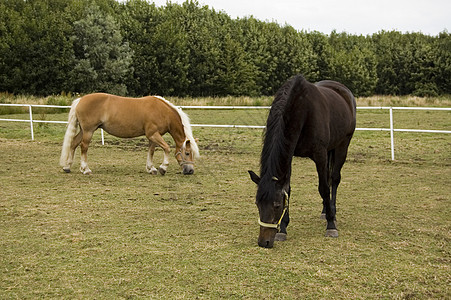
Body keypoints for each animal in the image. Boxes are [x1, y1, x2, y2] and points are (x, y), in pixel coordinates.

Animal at [59, 92, 200, 175]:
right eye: (187, 153)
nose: (190, 170)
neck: (163, 112)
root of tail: (80, 99)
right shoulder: (153, 134)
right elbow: (166, 148)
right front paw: (162, 168)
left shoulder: (152, 137)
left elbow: (151, 151)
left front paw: (151, 168)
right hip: (89, 131)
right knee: (84, 147)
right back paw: (86, 169)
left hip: (84, 130)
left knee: (73, 143)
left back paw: (67, 167)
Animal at [247, 75, 356, 248]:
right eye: (257, 204)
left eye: (276, 205)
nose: (264, 242)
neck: (303, 111)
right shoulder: (289, 154)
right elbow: (288, 189)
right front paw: (283, 229)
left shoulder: (320, 154)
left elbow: (324, 188)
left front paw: (331, 225)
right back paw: (325, 211)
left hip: (342, 145)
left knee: (334, 179)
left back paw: (332, 212)